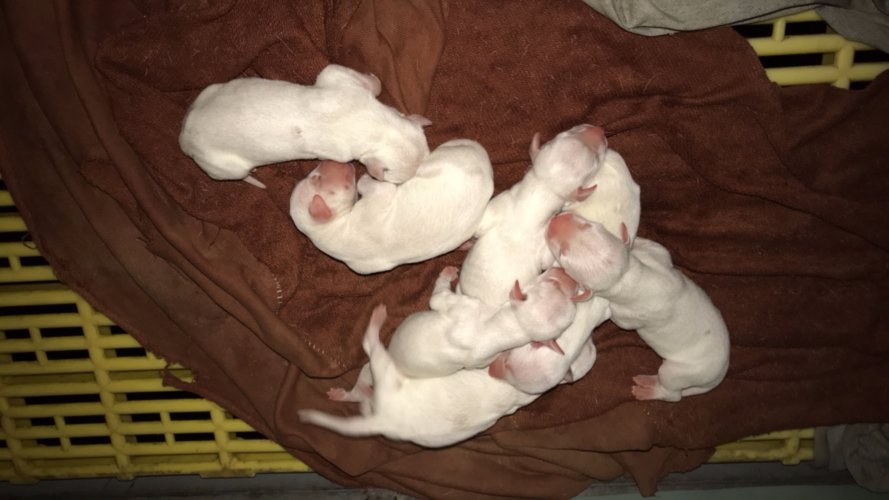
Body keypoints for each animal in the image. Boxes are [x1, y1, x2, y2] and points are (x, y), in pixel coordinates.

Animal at [179, 64, 430, 187]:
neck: (374, 127)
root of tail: (185, 137)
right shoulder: (337, 152)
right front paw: (375, 80)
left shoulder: (341, 81)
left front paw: (373, 81)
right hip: (223, 167)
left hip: (209, 90)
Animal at [289, 139, 493, 274]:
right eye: (315, 177)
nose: (327, 159)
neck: (327, 230)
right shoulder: (378, 199)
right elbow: (371, 185)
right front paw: (365, 177)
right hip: (441, 159)